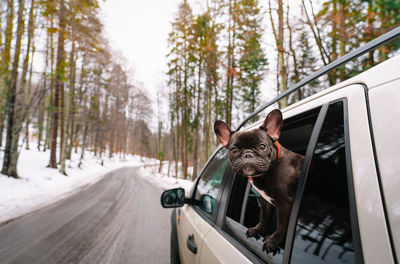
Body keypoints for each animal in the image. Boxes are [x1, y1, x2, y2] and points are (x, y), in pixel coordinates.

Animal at [216, 109, 304, 254]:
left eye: (262, 146)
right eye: (234, 150)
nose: (248, 154)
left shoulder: (285, 204)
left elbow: (281, 226)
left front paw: (272, 241)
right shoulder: (264, 200)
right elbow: (264, 217)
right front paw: (258, 230)